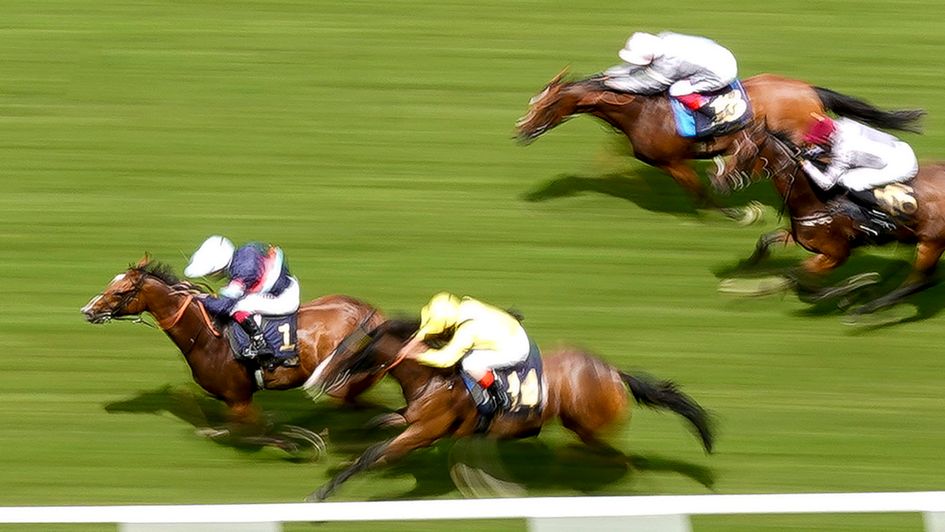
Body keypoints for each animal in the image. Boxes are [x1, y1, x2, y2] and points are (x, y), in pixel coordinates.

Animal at [80, 256, 384, 450]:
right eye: (111, 284)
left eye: (120, 292)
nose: (88, 310)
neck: (206, 338)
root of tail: (368, 312)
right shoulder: (231, 400)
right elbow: (221, 428)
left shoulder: (239, 399)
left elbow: (245, 433)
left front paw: (297, 439)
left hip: (343, 381)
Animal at [302, 318, 708, 500]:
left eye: (351, 351)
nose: (317, 380)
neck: (434, 377)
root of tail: (614, 372)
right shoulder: (414, 417)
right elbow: (378, 424)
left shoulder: (423, 432)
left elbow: (374, 454)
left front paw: (322, 493)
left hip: (587, 426)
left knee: (615, 458)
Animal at [516, 69, 920, 218]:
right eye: (533, 103)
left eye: (545, 105)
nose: (521, 130)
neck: (641, 110)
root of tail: (808, 89)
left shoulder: (673, 162)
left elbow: (700, 193)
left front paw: (735, 214)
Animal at [712, 121, 944, 316]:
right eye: (733, 148)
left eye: (747, 152)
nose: (718, 182)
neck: (817, 200)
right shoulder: (802, 238)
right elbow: (766, 241)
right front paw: (744, 270)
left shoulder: (836, 254)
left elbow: (794, 277)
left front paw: (857, 287)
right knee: (922, 278)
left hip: (930, 242)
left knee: (918, 281)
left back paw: (866, 310)